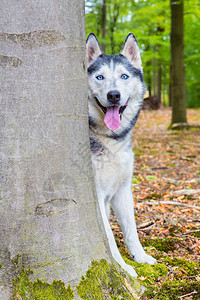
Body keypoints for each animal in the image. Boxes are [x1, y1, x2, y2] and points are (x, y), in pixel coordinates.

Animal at [86, 33, 156, 276]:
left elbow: (131, 229)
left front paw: (140, 257)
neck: (111, 140)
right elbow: (108, 238)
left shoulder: (123, 189)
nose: (114, 95)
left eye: (124, 76)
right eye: (100, 77)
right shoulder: (96, 196)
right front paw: (123, 268)